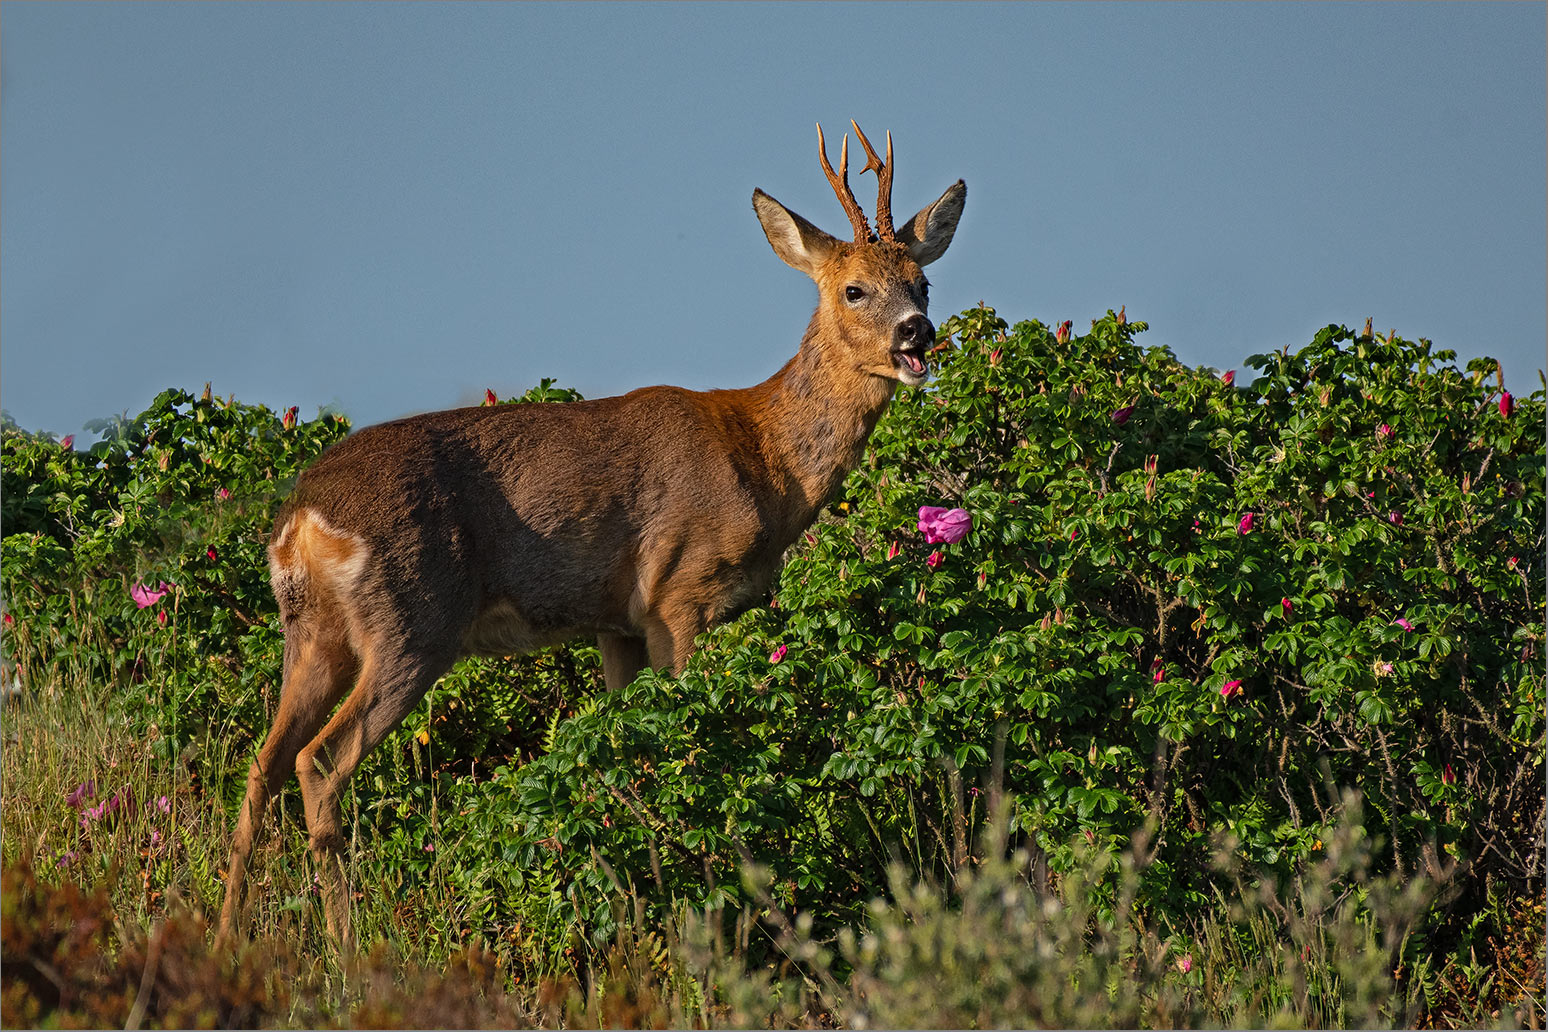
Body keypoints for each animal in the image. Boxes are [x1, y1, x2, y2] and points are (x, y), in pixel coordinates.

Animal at [218, 119, 965, 946]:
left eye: (924, 282)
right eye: (853, 288)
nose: (918, 333)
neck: (764, 459)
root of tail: (302, 517)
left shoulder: (618, 623)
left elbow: (629, 754)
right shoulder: (679, 594)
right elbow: (687, 743)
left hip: (314, 632)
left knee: (263, 760)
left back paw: (223, 934)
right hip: (413, 619)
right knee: (319, 762)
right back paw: (349, 944)